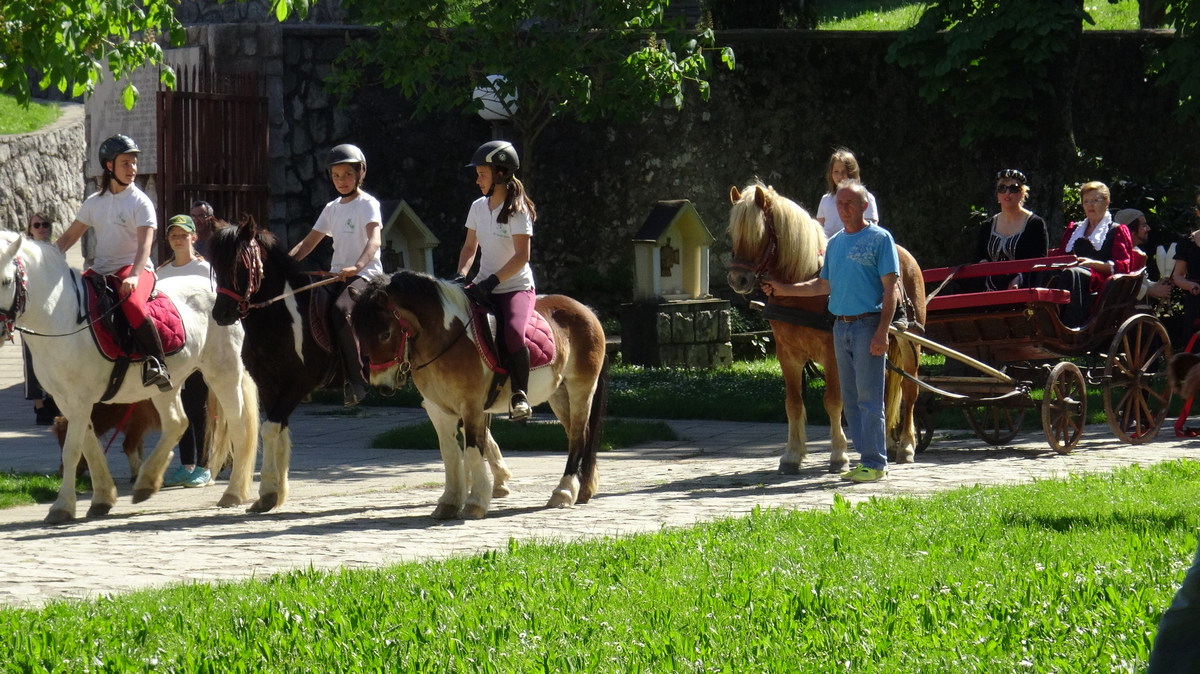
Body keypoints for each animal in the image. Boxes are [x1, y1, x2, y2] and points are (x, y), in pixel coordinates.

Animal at [0, 232, 260, 523]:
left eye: (7, 281)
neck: (60, 316)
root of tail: (220, 292)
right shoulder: (67, 401)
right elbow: (89, 446)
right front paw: (102, 498)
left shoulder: (78, 401)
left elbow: (72, 450)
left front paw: (62, 507)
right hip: (167, 384)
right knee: (177, 422)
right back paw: (147, 481)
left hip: (223, 374)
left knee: (239, 427)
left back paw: (233, 493)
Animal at [352, 270, 609, 519]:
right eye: (360, 336)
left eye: (385, 334)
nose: (381, 386)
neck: (445, 338)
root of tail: (587, 310)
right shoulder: (439, 410)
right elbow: (450, 453)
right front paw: (449, 503)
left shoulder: (471, 406)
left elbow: (474, 451)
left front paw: (475, 503)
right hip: (559, 394)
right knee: (577, 434)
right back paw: (582, 489)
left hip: (580, 388)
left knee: (578, 437)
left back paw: (563, 492)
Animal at [726, 182, 927, 473]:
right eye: (731, 233)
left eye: (758, 233)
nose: (737, 279)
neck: (801, 289)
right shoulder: (787, 355)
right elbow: (793, 404)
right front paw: (792, 454)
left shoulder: (833, 354)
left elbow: (832, 401)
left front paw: (839, 455)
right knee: (882, 392)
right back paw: (888, 442)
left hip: (911, 342)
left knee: (910, 391)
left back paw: (907, 445)